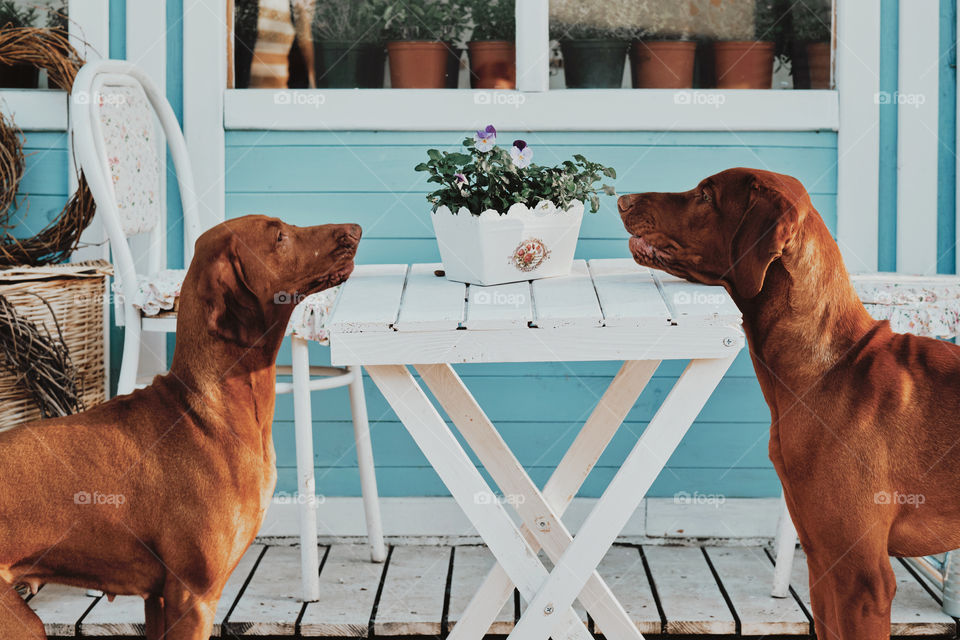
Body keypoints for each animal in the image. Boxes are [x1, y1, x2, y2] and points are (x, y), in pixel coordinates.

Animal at [0, 212, 360, 636]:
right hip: (20, 622)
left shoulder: (157, 600)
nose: (355, 230)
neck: (211, 410)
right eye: (279, 236)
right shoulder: (193, 598)